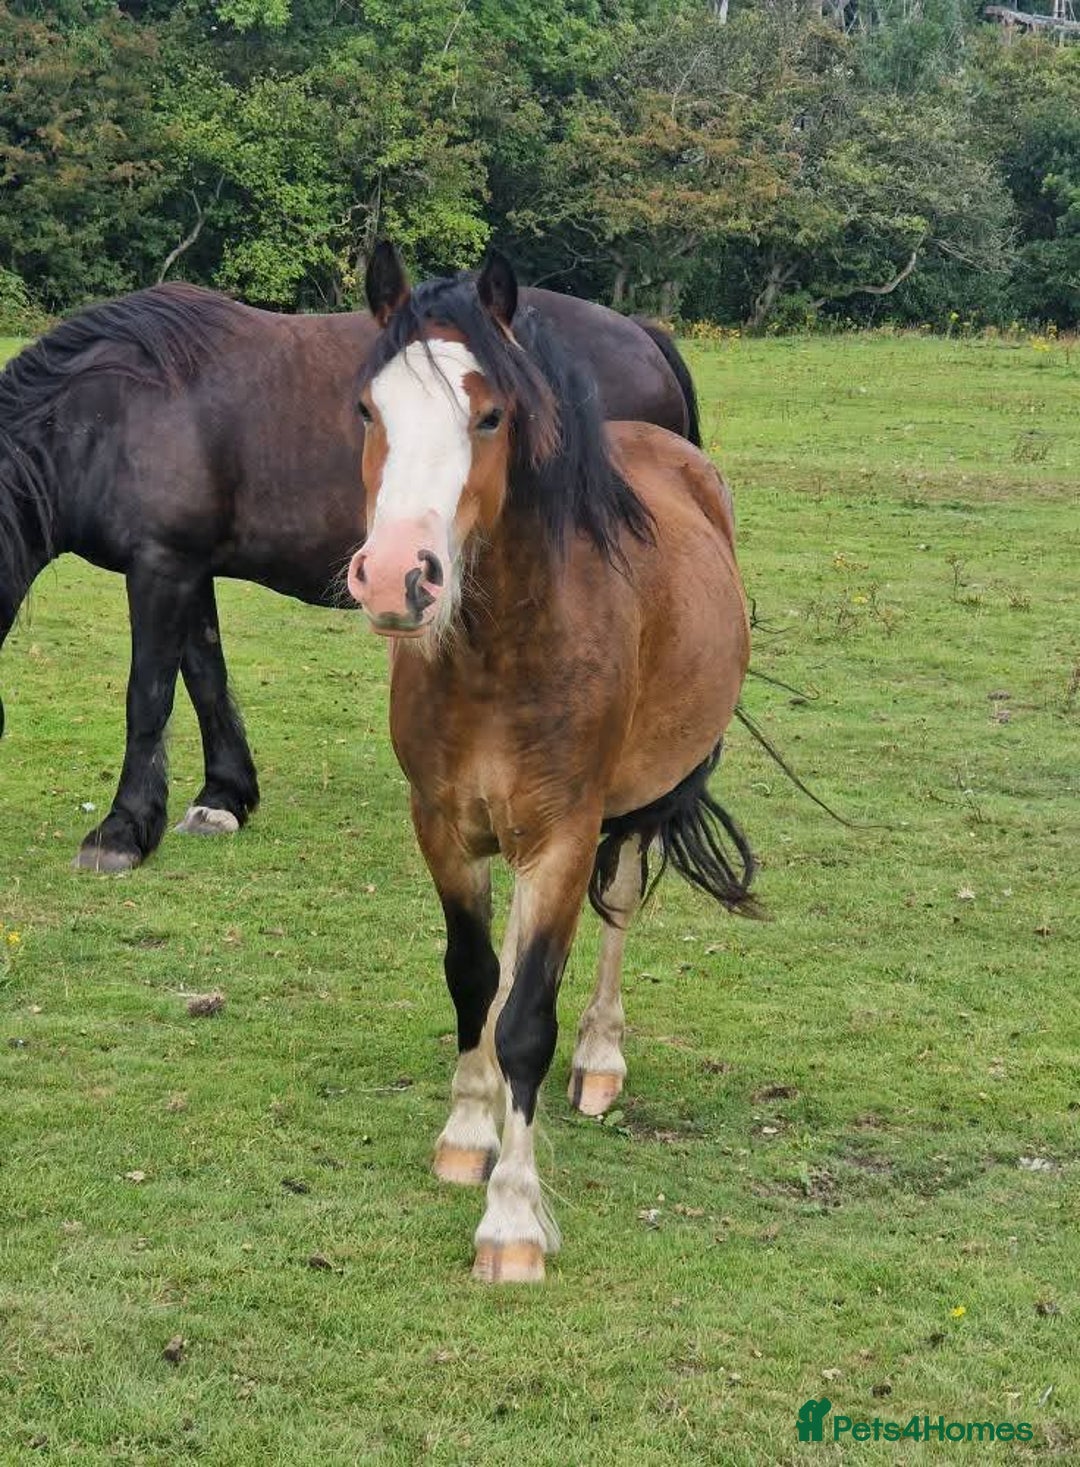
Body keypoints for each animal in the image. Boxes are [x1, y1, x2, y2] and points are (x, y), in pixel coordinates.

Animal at [0, 283, 699, 872]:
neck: (107, 413)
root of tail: (643, 336)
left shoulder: (160, 568)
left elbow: (148, 695)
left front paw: (121, 831)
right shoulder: (188, 569)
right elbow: (205, 679)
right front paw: (224, 798)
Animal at [345, 243, 758, 1283]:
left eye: (489, 414)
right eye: (367, 409)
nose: (397, 576)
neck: (502, 652)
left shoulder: (563, 834)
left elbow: (530, 1015)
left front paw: (513, 1221)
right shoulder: (445, 825)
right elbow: (471, 978)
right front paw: (466, 1131)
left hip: (632, 805)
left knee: (621, 901)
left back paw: (601, 1062)